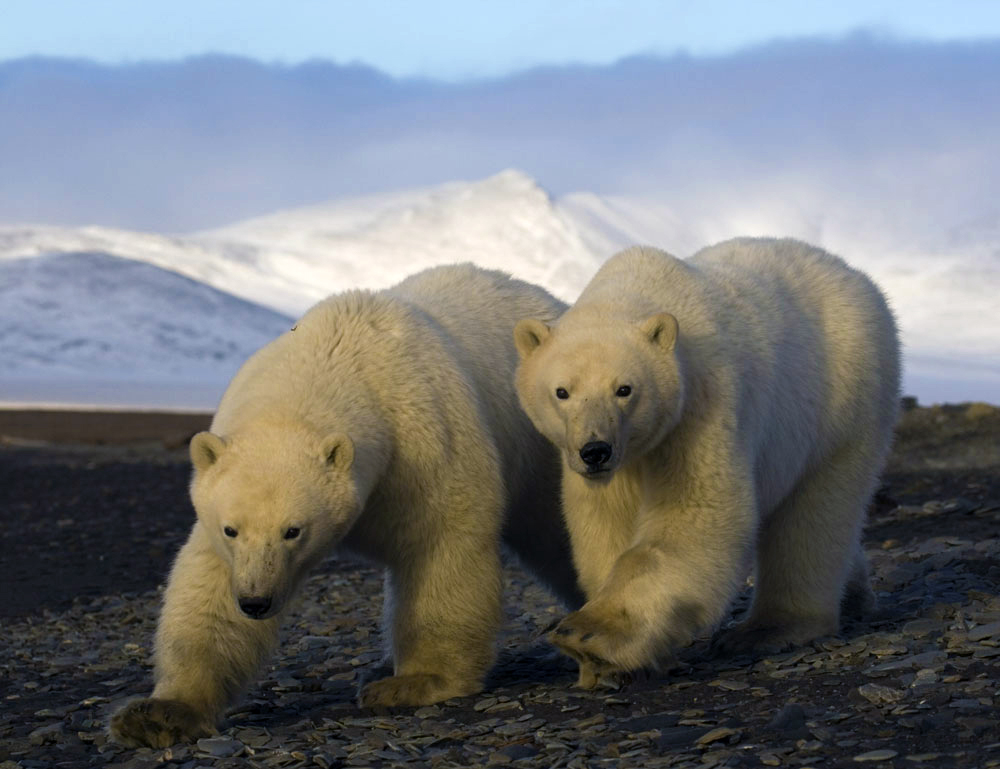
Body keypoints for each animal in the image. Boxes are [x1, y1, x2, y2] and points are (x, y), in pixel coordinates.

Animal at [110, 262, 584, 744]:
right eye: (232, 529)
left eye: (293, 531)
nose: (256, 601)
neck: (335, 357)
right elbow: (208, 584)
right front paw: (159, 713)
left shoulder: (426, 439)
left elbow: (442, 542)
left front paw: (414, 682)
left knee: (558, 531)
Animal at [516, 238, 900, 684]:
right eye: (562, 391)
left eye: (624, 389)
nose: (595, 450)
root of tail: (855, 276)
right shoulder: (605, 467)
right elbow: (603, 526)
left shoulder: (700, 407)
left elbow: (694, 517)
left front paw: (589, 635)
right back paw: (854, 594)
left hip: (843, 395)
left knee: (815, 513)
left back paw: (769, 628)